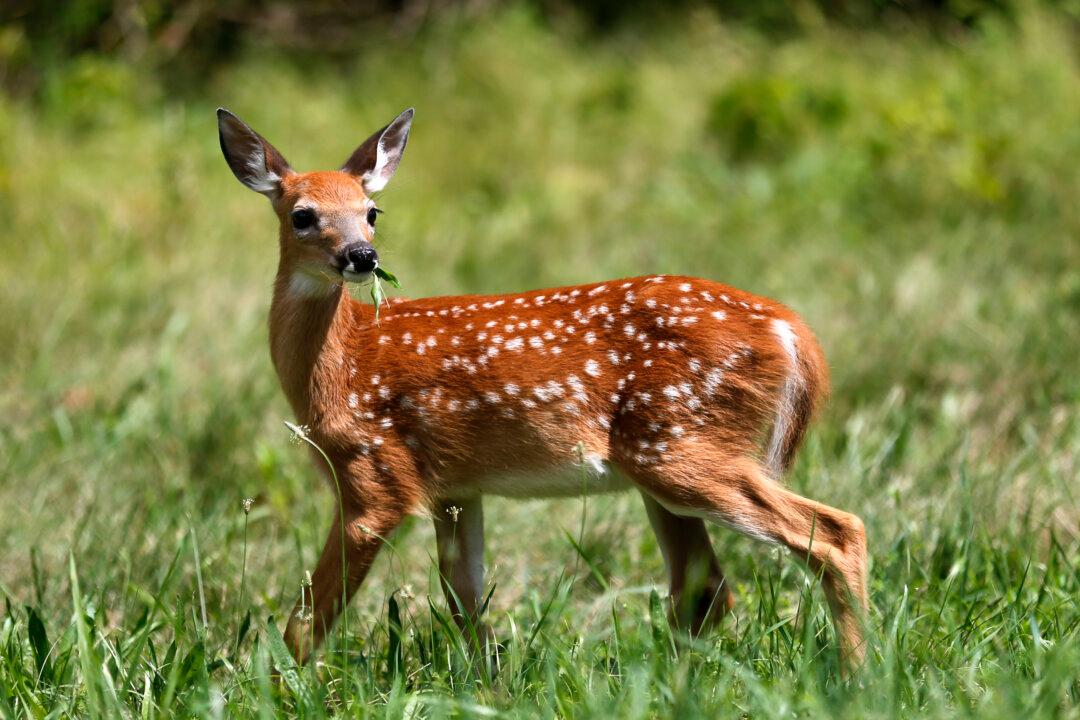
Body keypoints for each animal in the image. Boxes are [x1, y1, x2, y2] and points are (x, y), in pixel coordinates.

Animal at [216, 106, 869, 670]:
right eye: (302, 214)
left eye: (372, 211)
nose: (362, 256)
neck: (343, 364)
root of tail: (790, 328)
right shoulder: (455, 488)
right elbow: (465, 602)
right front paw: (490, 684)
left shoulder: (375, 476)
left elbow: (305, 624)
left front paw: (275, 687)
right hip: (666, 461)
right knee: (704, 588)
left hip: (680, 442)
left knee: (835, 534)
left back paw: (855, 676)